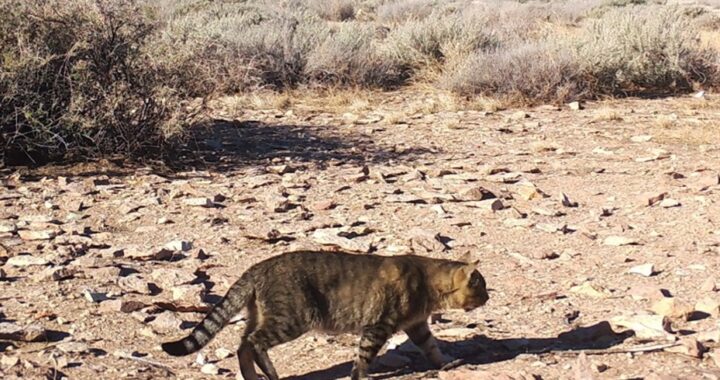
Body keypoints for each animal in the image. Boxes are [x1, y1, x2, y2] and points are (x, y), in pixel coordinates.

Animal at [162, 251, 490, 378]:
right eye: (482, 287)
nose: (489, 297)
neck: (426, 281)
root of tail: (258, 266)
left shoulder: (418, 325)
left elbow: (432, 348)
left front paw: (445, 364)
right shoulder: (378, 326)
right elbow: (363, 357)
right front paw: (359, 376)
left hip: (262, 315)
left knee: (243, 344)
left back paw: (253, 376)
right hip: (292, 318)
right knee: (254, 343)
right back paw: (268, 374)